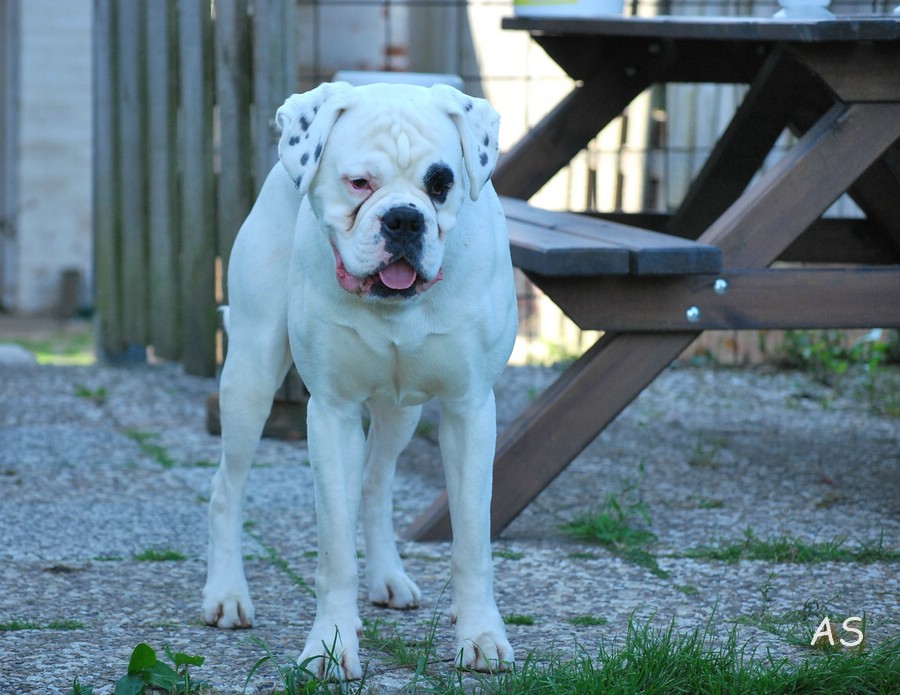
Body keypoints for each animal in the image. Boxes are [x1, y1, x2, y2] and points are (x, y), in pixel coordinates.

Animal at [201, 81, 518, 680]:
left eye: (441, 184)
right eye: (359, 183)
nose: (404, 220)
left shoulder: (469, 411)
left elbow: (471, 543)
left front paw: (482, 636)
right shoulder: (331, 413)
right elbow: (334, 553)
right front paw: (330, 644)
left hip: (403, 410)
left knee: (373, 483)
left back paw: (388, 578)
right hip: (249, 376)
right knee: (228, 487)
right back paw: (226, 594)